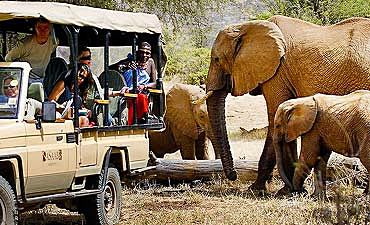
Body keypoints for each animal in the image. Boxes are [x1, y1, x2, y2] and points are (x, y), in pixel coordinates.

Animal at [207, 14, 370, 191]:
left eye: (216, 59)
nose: (233, 175)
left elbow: (274, 119)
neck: (247, 27)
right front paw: (288, 190)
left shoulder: (277, 73)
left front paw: (257, 189)